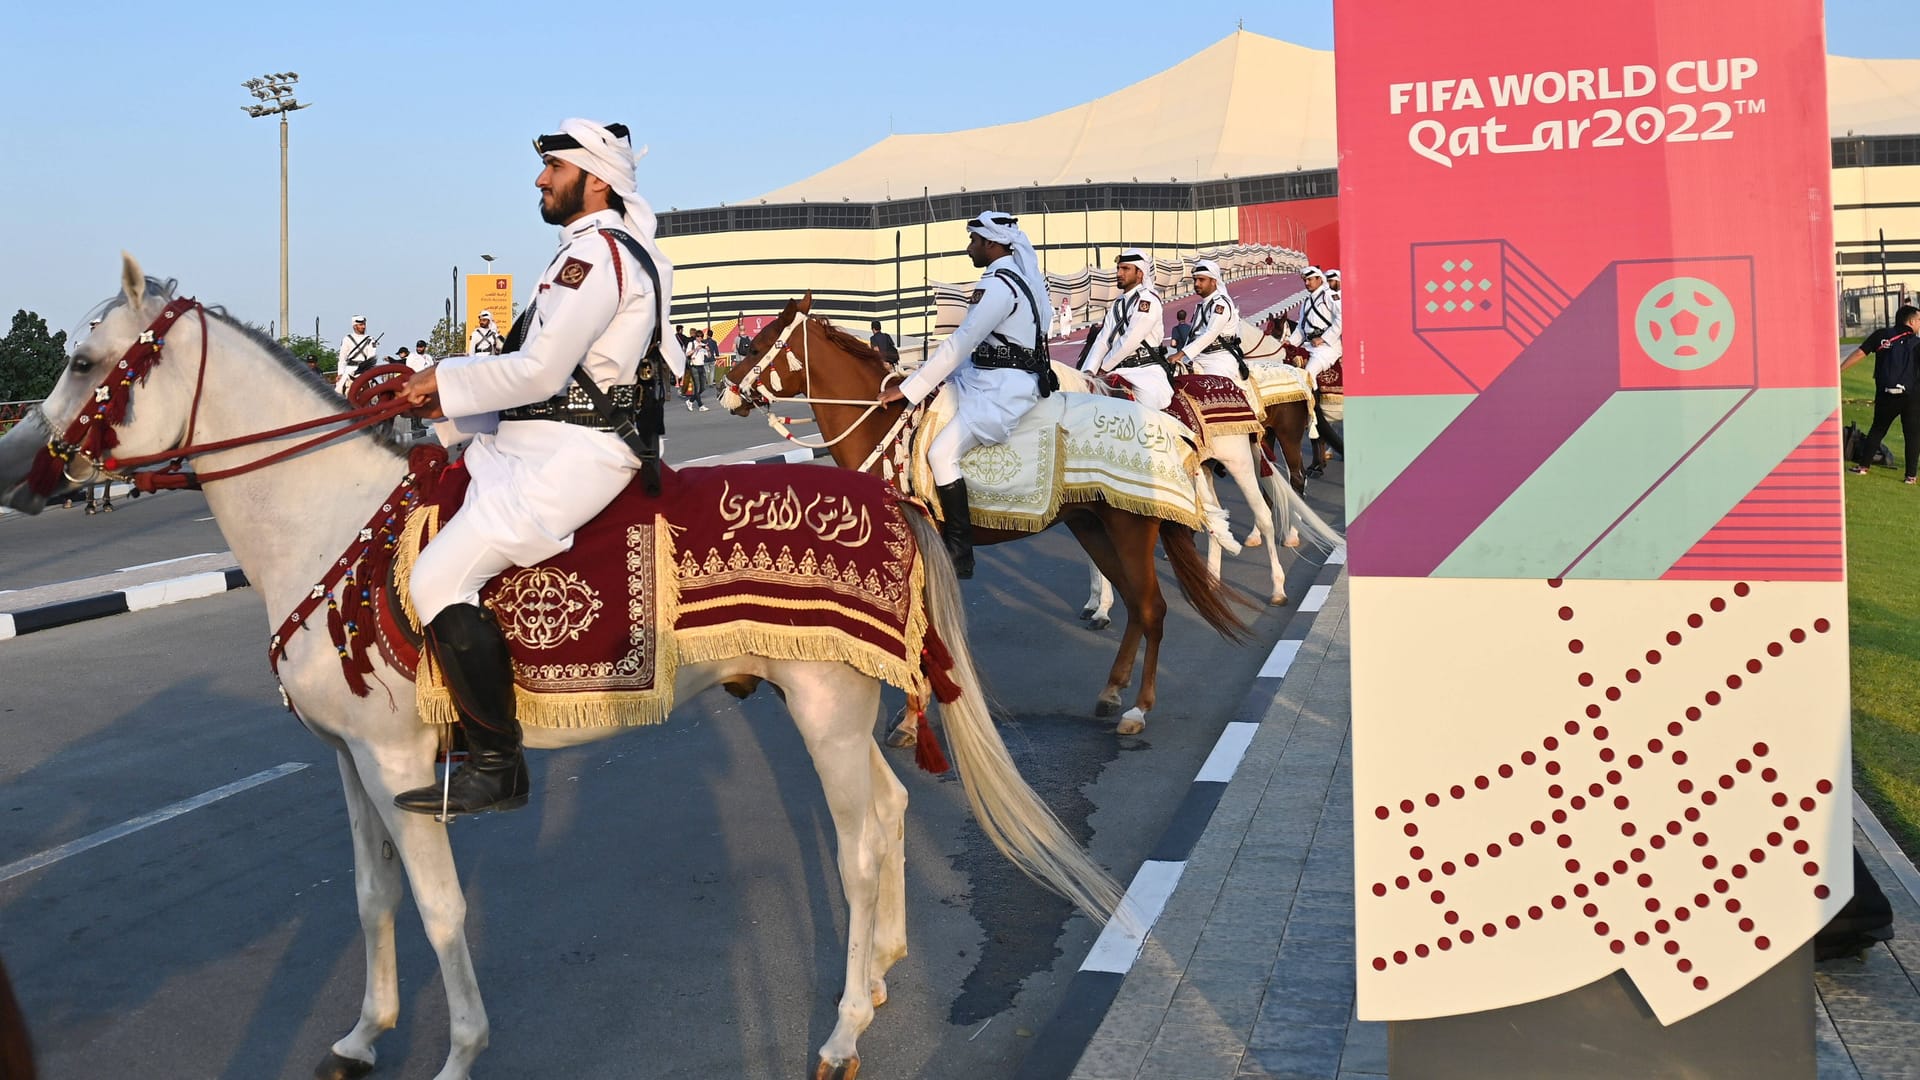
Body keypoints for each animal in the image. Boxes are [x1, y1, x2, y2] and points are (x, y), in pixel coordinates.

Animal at [0, 253, 1121, 1076]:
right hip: (832, 707)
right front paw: (364, 1034)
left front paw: (459, 1052)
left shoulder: (401, 765)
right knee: (886, 815)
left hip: (826, 704)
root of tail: (887, 497)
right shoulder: (349, 762)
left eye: (88, 363)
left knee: (858, 843)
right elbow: (370, 898)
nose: (16, 467)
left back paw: (845, 1026)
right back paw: (883, 972)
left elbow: (441, 906)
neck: (329, 522)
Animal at [718, 294, 1244, 730]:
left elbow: (918, 638)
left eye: (757, 343)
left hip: (1130, 530)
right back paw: (1112, 690)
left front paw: (911, 720)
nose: (724, 391)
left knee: (1153, 607)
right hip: (1093, 528)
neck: (882, 428)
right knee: (1135, 605)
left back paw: (1138, 708)